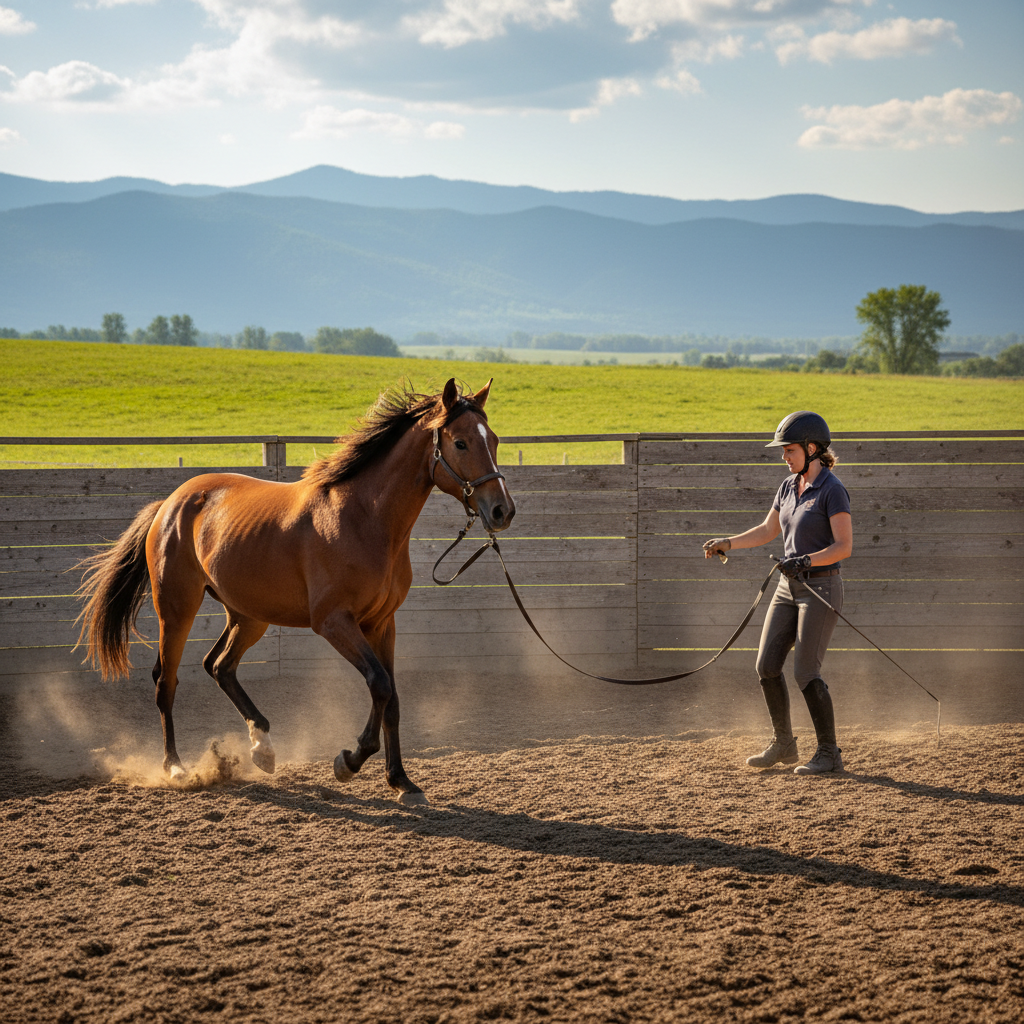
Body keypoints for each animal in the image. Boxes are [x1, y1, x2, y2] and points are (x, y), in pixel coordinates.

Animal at [74, 378, 515, 804]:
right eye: (460, 442)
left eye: (493, 439)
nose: (502, 511)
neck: (364, 519)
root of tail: (170, 503)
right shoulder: (334, 622)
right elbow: (380, 684)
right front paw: (349, 761)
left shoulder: (382, 623)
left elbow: (392, 699)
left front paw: (402, 782)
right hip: (177, 608)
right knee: (166, 681)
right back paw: (176, 768)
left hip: (249, 616)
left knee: (219, 666)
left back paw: (262, 748)